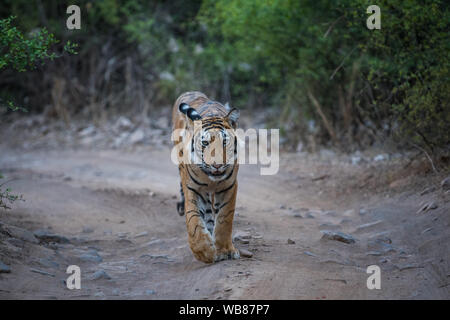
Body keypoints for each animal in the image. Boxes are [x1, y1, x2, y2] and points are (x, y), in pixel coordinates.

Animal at [171, 91, 241, 264]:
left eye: (225, 142)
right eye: (204, 143)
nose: (217, 165)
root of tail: (191, 91)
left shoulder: (229, 186)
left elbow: (224, 219)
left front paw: (225, 250)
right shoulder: (193, 188)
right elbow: (194, 221)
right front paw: (204, 252)